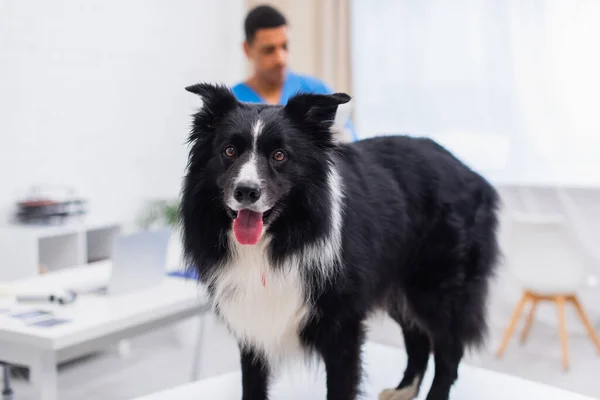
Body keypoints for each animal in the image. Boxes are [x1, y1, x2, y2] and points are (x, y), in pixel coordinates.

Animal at [180, 82, 500, 400]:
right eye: (229, 151)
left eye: (280, 155)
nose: (246, 192)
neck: (276, 240)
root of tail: (473, 175)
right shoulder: (252, 321)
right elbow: (252, 383)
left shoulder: (342, 326)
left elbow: (341, 384)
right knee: (418, 338)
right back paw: (403, 389)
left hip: (438, 287)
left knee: (448, 350)